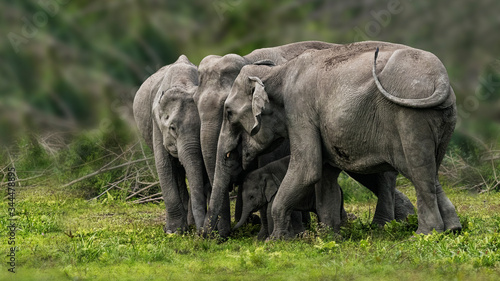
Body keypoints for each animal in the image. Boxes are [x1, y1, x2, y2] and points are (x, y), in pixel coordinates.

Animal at [132, 54, 208, 232]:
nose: (201, 232)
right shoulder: (156, 124)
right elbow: (163, 164)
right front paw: (173, 231)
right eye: (173, 128)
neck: (183, 83)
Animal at [210, 41, 460, 238]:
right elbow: (325, 175)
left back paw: (424, 234)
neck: (278, 72)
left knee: (419, 169)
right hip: (443, 117)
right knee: (429, 170)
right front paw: (330, 237)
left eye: (228, 113)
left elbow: (307, 169)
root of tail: (441, 78)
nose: (211, 237)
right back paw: (452, 229)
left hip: (411, 116)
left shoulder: (299, 109)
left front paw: (276, 241)